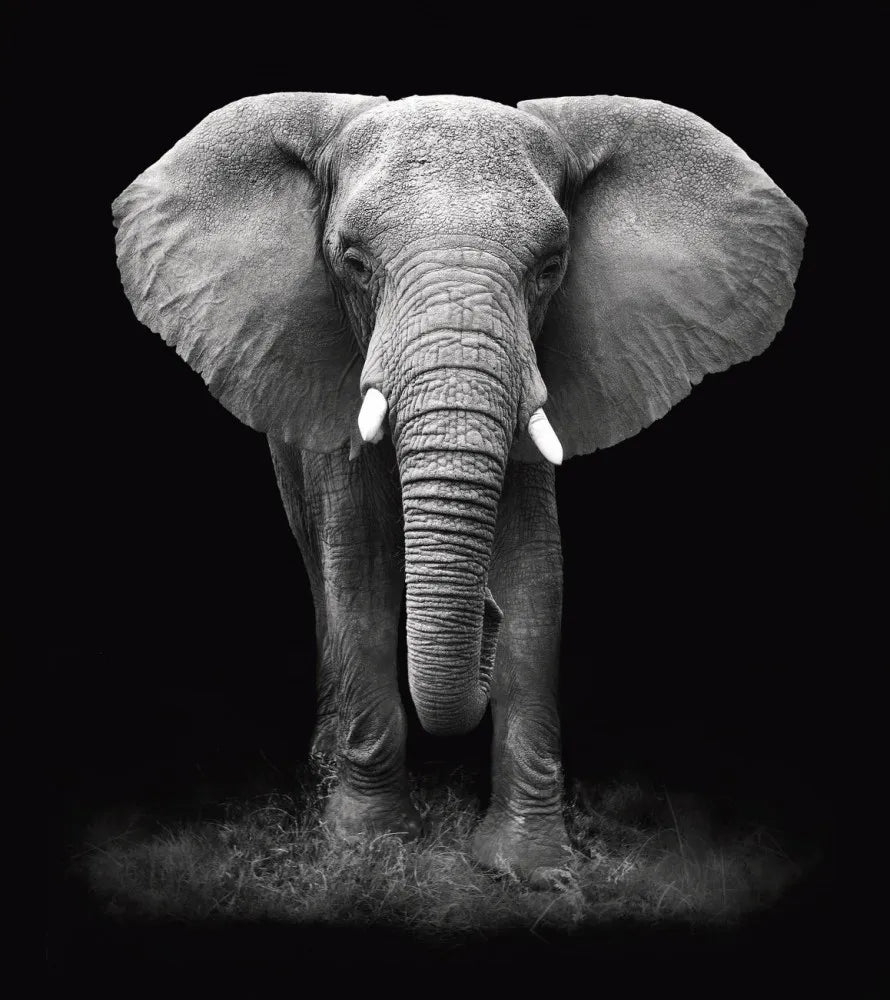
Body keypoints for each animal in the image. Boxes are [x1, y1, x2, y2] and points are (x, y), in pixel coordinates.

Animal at [113, 92, 805, 887]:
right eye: (352, 262)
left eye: (551, 266)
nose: (484, 615)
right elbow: (361, 570)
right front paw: (368, 848)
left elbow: (537, 575)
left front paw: (530, 867)